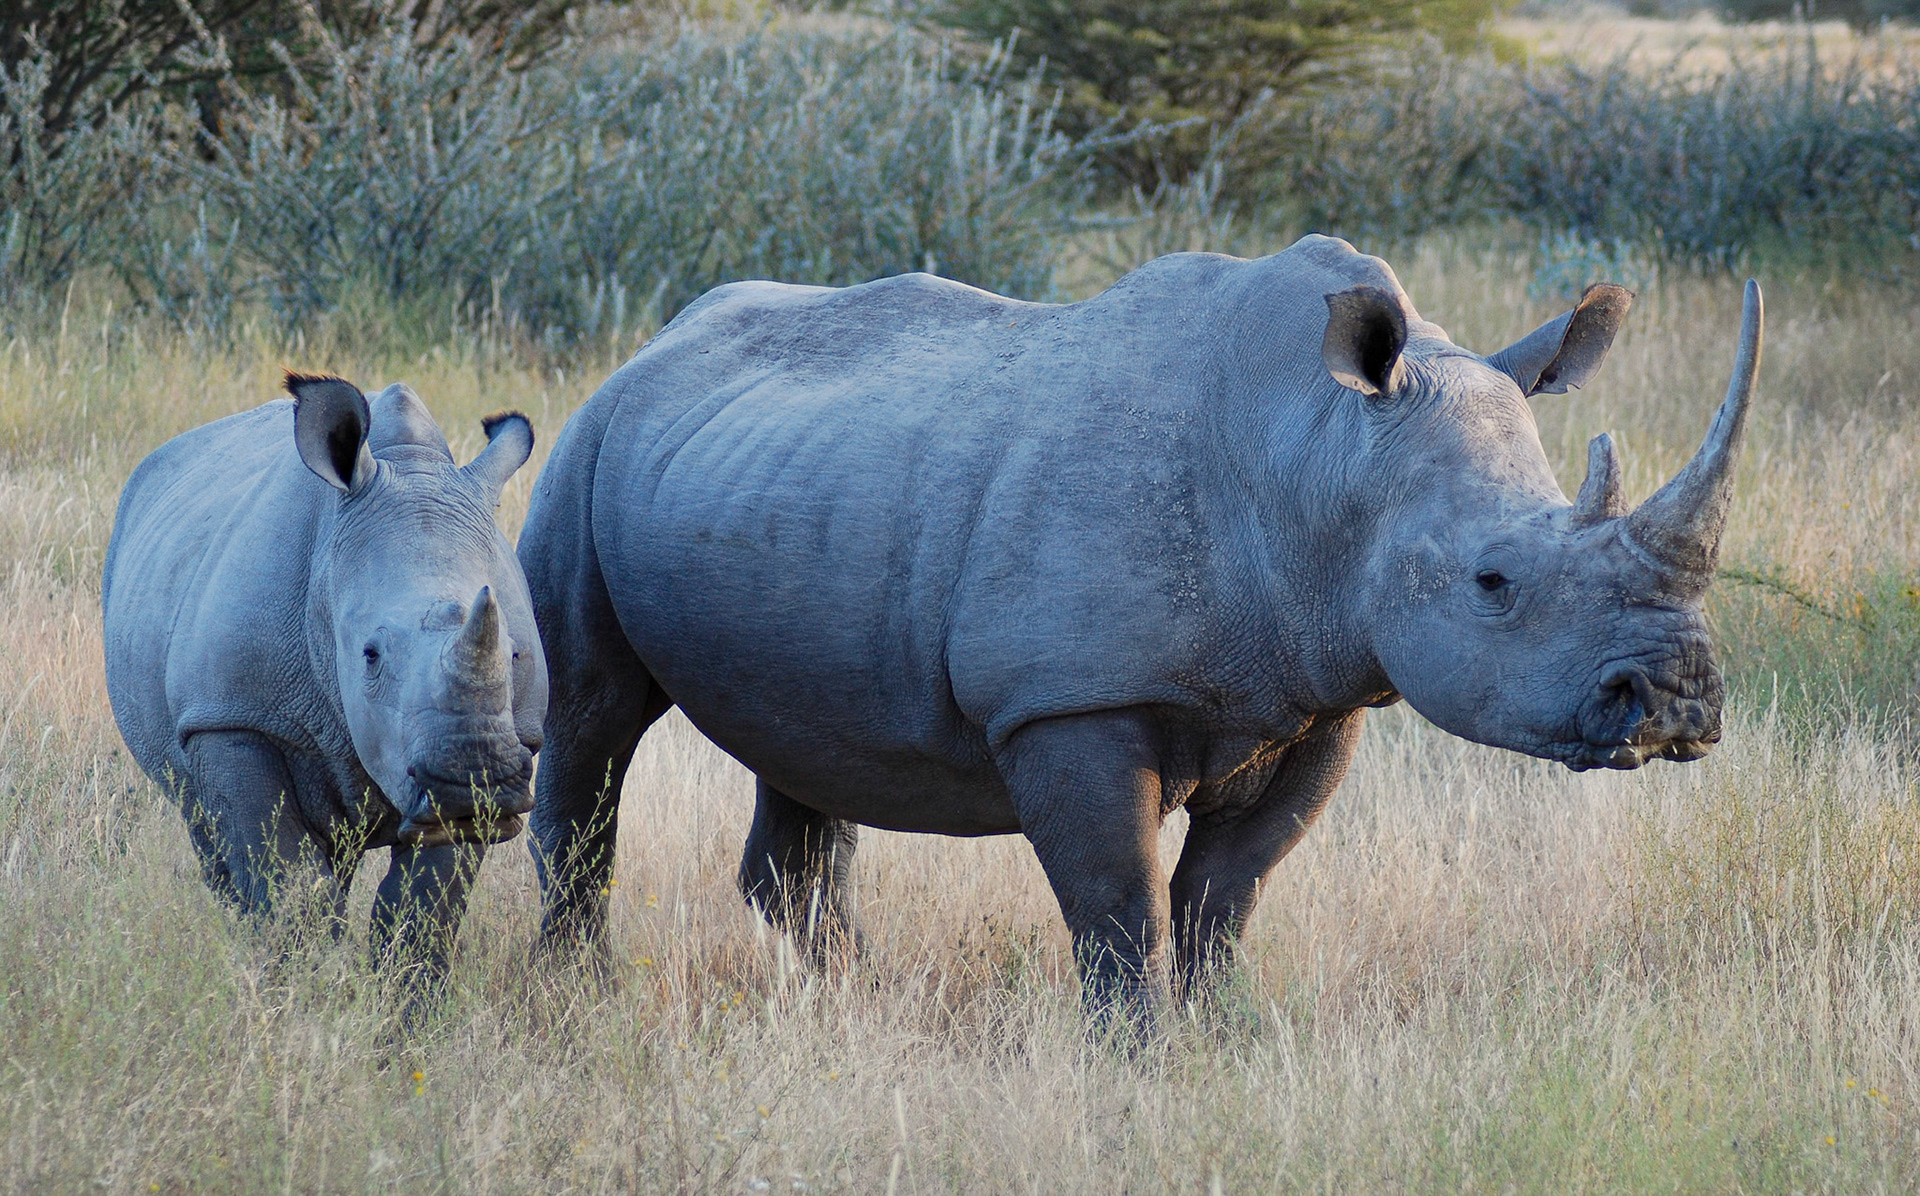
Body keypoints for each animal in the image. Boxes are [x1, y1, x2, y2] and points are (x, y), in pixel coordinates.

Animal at [103, 373, 546, 982]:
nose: (469, 784)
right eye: (370, 655)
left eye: (516, 655)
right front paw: (303, 994)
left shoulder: (508, 741)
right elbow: (291, 888)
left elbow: (423, 906)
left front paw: (405, 1006)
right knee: (212, 834)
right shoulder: (233, 716)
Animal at [519, 235, 1761, 1017]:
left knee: (808, 757)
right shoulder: (1069, 700)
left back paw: (852, 1004)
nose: (1677, 702)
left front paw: (1222, 1041)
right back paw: (582, 1000)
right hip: (585, 445)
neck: (1322, 454)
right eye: (1494, 580)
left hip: (788, 483)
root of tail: (656, 343)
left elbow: (1225, 896)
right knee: (592, 714)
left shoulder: (1320, 692)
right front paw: (1135, 1059)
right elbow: (1118, 905)